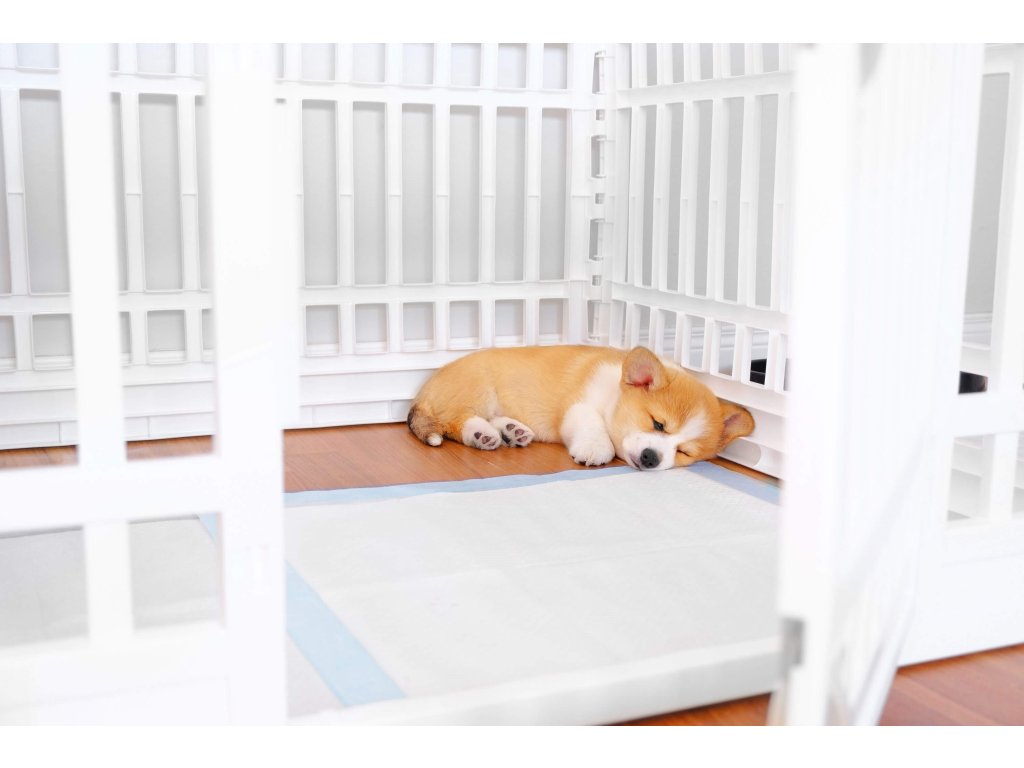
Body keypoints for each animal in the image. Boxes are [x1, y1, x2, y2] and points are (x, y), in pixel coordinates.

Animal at [407, 345, 754, 470]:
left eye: (684, 452)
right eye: (658, 424)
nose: (651, 458)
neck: (613, 393)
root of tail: (423, 392)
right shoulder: (579, 407)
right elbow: (594, 427)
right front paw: (595, 450)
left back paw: (511, 431)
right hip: (476, 391)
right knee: (455, 422)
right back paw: (482, 434)